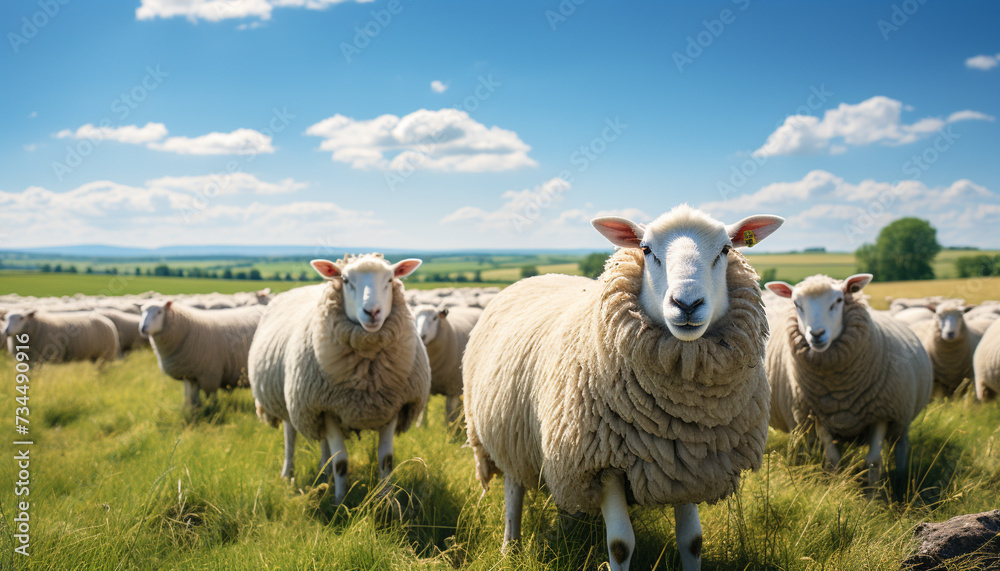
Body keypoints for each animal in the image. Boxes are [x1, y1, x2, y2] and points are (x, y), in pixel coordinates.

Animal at [249, 253, 430, 504]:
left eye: (390, 279)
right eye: (345, 280)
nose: (372, 312)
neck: (367, 377)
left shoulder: (392, 407)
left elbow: (386, 461)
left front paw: (386, 500)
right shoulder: (328, 409)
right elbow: (342, 462)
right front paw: (339, 503)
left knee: (324, 443)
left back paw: (323, 472)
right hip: (293, 402)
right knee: (290, 435)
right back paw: (288, 474)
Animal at [463, 205, 784, 571]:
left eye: (726, 250)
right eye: (646, 249)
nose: (687, 304)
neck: (678, 415)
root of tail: (540, 276)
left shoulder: (687, 465)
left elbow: (692, 541)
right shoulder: (603, 464)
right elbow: (619, 545)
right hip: (508, 434)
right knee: (513, 490)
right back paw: (509, 546)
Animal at [765, 274, 932, 491]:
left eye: (838, 300)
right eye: (796, 304)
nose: (817, 334)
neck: (838, 392)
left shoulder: (881, 414)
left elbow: (873, 461)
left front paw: (872, 497)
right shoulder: (819, 415)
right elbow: (833, 459)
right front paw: (835, 488)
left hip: (901, 416)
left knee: (900, 444)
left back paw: (901, 477)